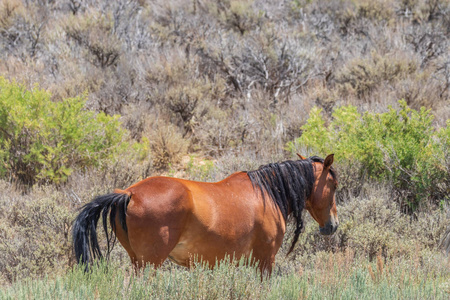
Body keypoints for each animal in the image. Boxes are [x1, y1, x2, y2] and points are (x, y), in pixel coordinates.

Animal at [73, 155, 338, 274]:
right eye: (334, 185)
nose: (333, 225)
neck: (268, 194)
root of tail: (129, 193)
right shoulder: (265, 260)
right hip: (150, 262)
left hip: (138, 261)